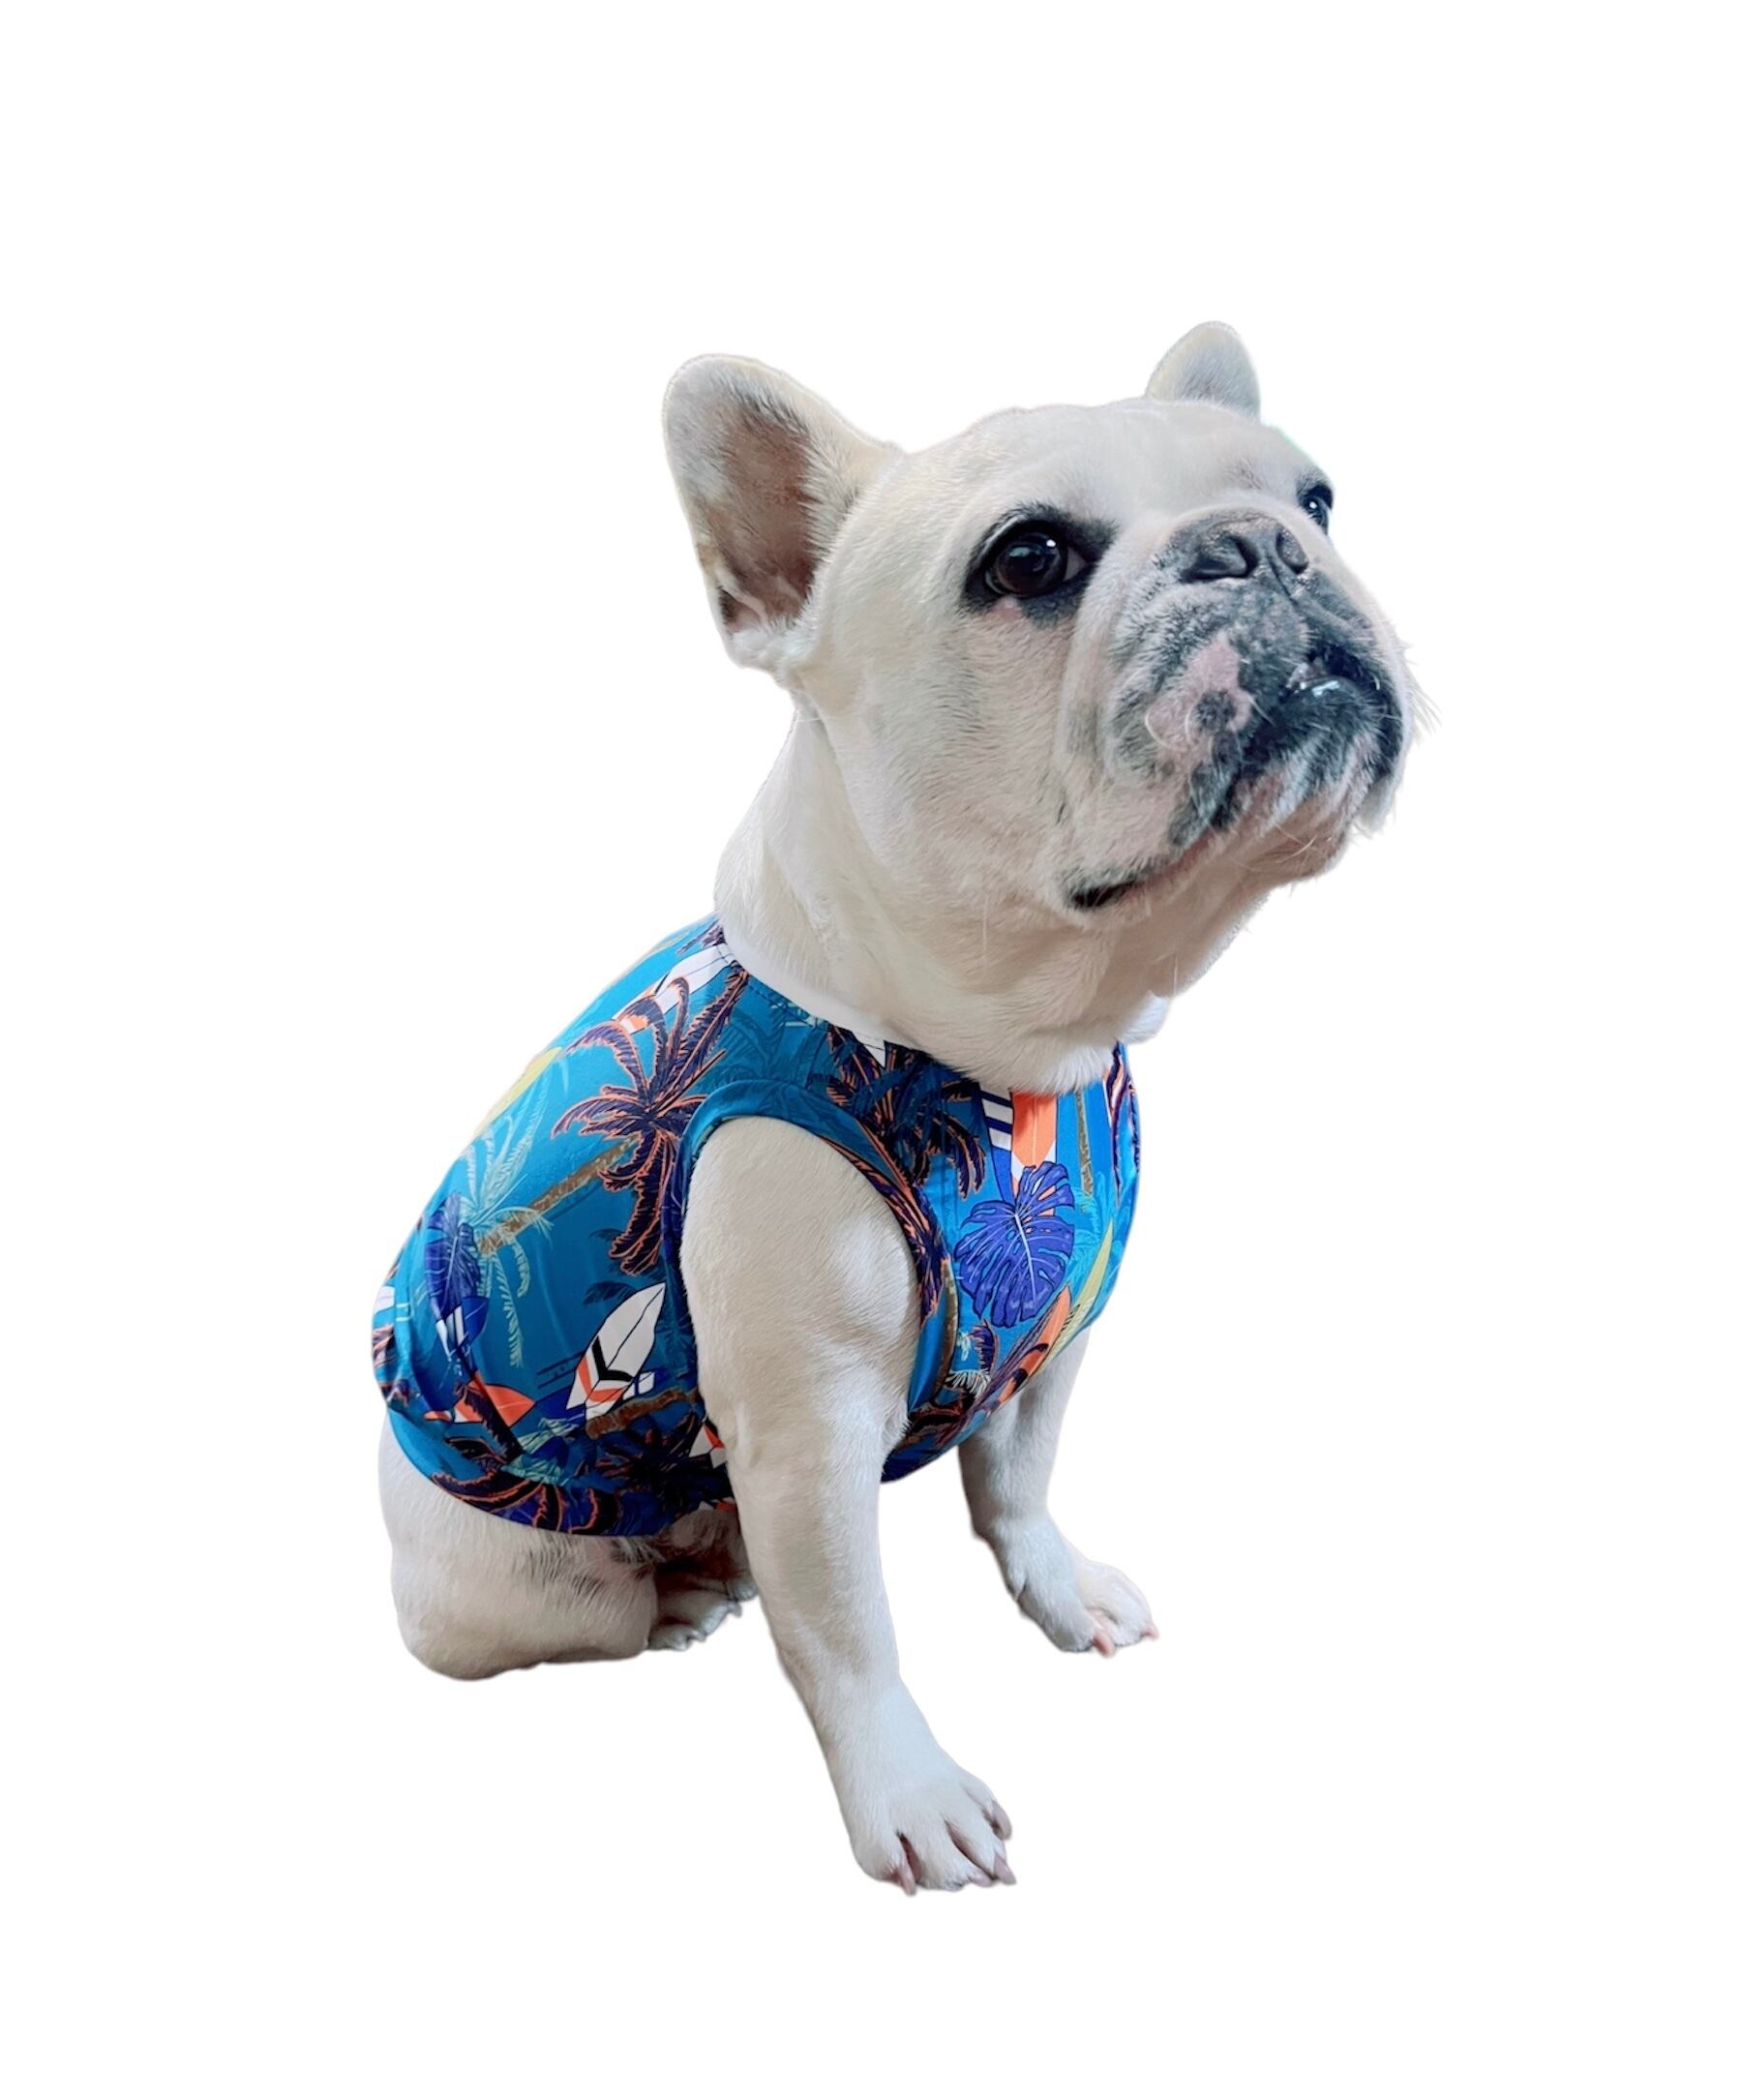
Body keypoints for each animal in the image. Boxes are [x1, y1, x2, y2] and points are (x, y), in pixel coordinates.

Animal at [374, 325, 1413, 1891]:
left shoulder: (1053, 1338)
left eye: (1318, 500)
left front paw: (1057, 1588)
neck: (1001, 1054)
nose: (1262, 548)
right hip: (527, 1581)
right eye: (1028, 557)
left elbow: (1018, 1486)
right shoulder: (806, 1437)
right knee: (608, 1606)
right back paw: (681, 1593)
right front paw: (907, 1792)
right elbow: (849, 1636)